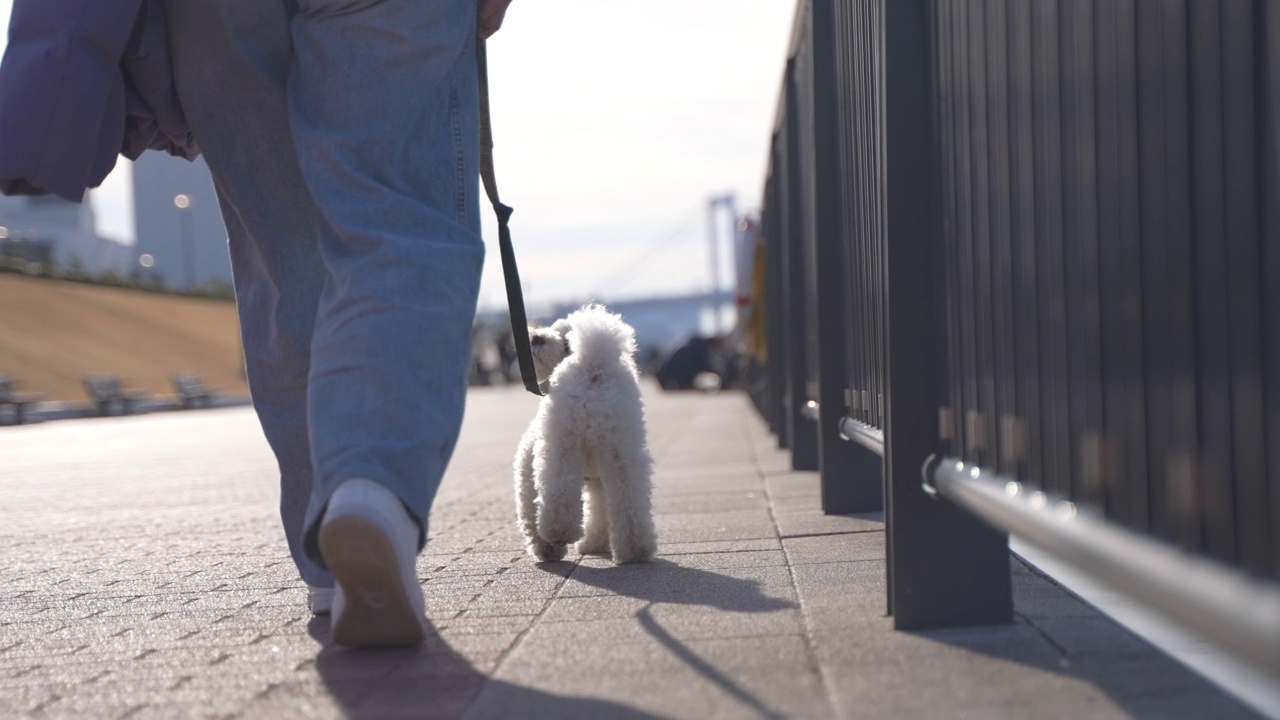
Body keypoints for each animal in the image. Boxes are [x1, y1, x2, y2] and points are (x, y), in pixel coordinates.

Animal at [514, 301, 660, 561]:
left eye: (566, 343)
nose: (536, 338)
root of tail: (594, 366)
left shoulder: (528, 463)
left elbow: (529, 504)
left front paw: (544, 549)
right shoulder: (599, 477)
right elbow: (601, 510)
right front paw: (594, 543)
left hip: (563, 442)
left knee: (559, 492)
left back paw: (558, 533)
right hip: (622, 447)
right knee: (629, 497)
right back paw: (635, 549)